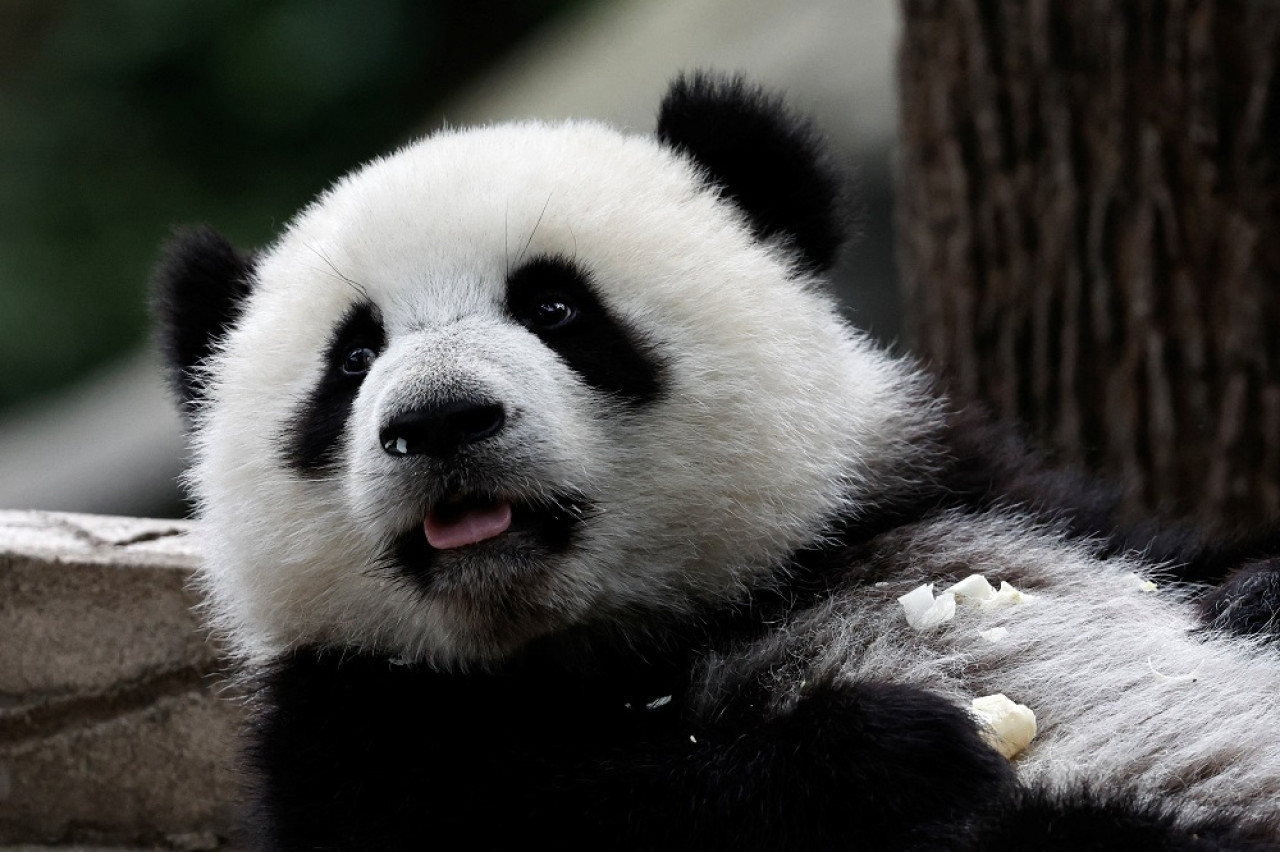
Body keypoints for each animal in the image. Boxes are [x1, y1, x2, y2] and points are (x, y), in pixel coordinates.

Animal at [154, 74, 1280, 849]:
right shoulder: (354, 719)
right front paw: (888, 754)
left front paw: (1250, 592)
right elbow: (548, 814)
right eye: (351, 359)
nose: (437, 421)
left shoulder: (959, 485)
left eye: (554, 306)